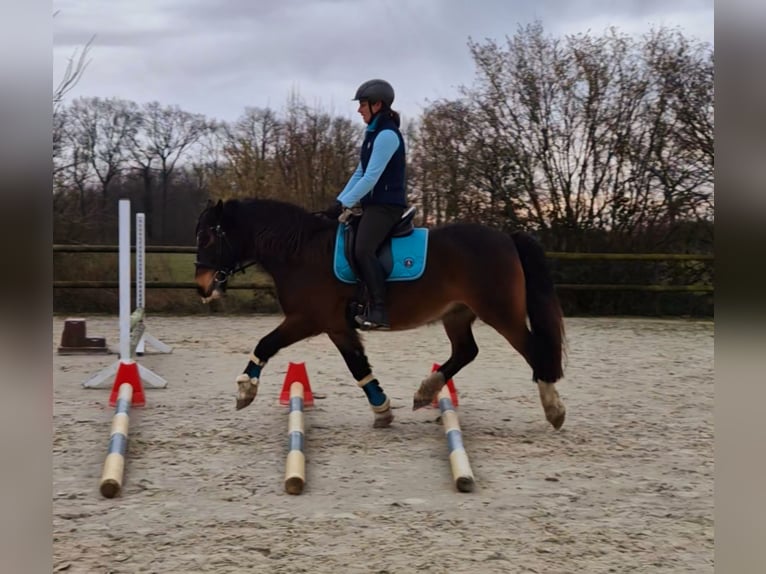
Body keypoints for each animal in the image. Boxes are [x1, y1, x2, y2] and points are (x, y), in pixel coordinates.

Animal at [194, 198, 567, 430]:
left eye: (209, 237)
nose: (202, 286)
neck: (301, 251)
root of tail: (506, 238)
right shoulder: (338, 327)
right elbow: (359, 367)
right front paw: (383, 410)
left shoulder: (307, 320)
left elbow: (265, 344)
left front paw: (245, 391)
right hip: (457, 314)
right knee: (466, 351)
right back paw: (426, 390)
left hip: (501, 313)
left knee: (535, 351)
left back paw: (554, 409)